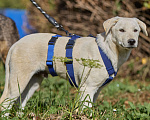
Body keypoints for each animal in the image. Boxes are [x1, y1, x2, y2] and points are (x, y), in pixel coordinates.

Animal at [0, 16, 148, 115]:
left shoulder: (96, 90)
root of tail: (16, 44)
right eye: (121, 30)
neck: (108, 50)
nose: (132, 41)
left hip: (33, 82)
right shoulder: (87, 88)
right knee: (5, 102)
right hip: (19, 79)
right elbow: (85, 109)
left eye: (136, 30)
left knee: (20, 102)